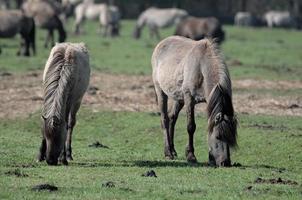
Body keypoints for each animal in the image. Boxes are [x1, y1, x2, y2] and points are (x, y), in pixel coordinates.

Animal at [152, 36, 237, 167]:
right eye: (218, 136)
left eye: (231, 138)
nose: (225, 163)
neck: (202, 67)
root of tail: (162, 43)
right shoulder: (189, 99)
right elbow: (191, 126)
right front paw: (191, 155)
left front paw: (210, 158)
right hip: (160, 90)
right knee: (165, 119)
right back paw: (168, 153)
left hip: (179, 97)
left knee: (172, 118)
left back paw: (173, 150)